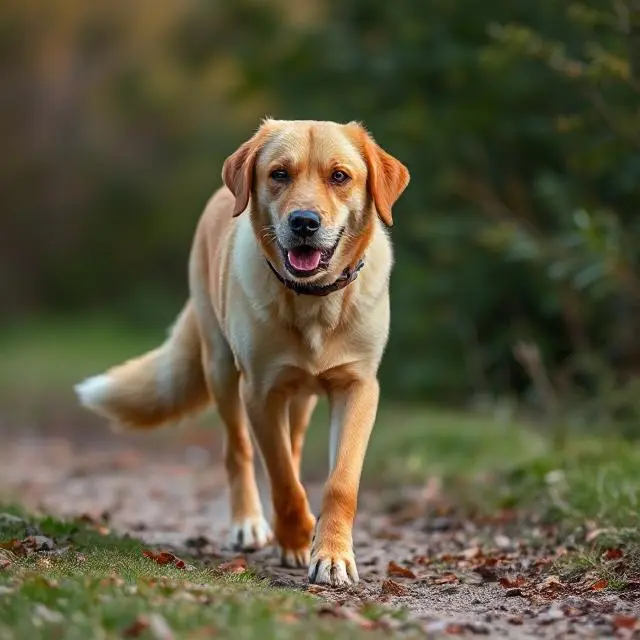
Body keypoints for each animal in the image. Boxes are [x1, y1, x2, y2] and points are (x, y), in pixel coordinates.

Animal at [75, 119, 412, 584]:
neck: (312, 301)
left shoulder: (358, 386)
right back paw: (251, 524)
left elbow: (339, 481)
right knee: (239, 451)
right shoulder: (260, 391)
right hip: (221, 368)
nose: (304, 222)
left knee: (292, 446)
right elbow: (282, 478)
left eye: (340, 176)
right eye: (279, 174)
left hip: (301, 398)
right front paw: (296, 535)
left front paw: (331, 555)